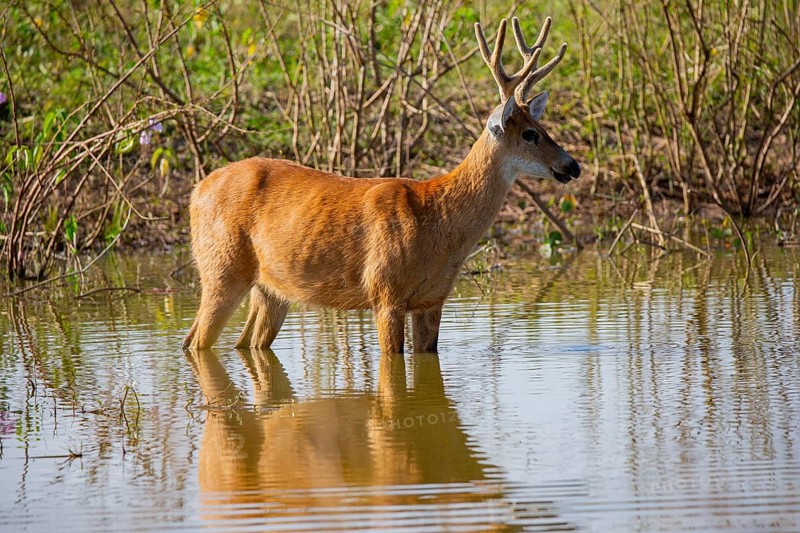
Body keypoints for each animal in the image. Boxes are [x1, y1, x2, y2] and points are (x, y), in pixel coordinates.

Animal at [183, 16, 581, 354]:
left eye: (543, 128)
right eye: (529, 134)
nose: (572, 165)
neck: (439, 220)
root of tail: (197, 190)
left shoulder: (433, 300)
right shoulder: (385, 292)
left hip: (271, 289)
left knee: (242, 343)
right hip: (221, 268)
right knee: (196, 339)